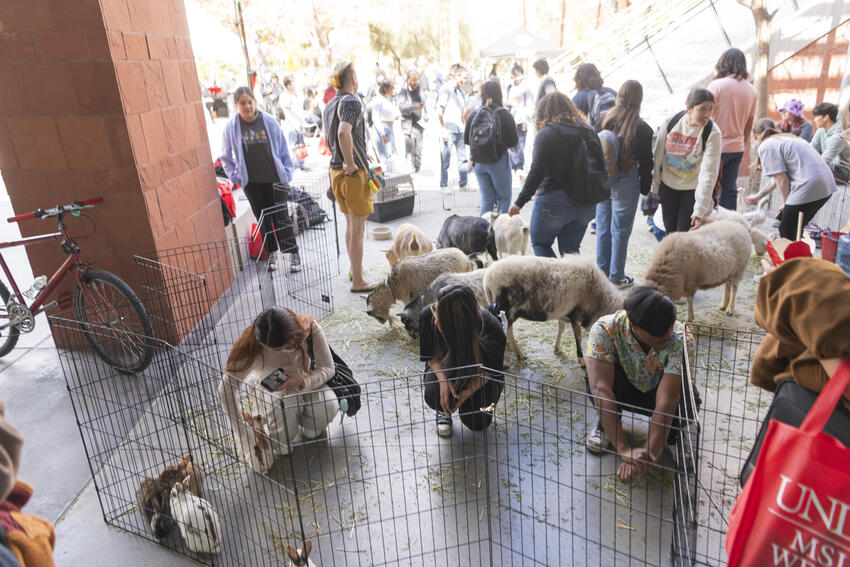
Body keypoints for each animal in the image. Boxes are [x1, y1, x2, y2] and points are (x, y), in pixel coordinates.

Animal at [484, 256, 624, 366]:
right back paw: (515, 356)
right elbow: (578, 338)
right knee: (507, 332)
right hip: (506, 310)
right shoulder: (576, 315)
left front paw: (557, 348)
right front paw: (582, 361)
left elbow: (560, 329)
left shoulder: (564, 314)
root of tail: (488, 277)